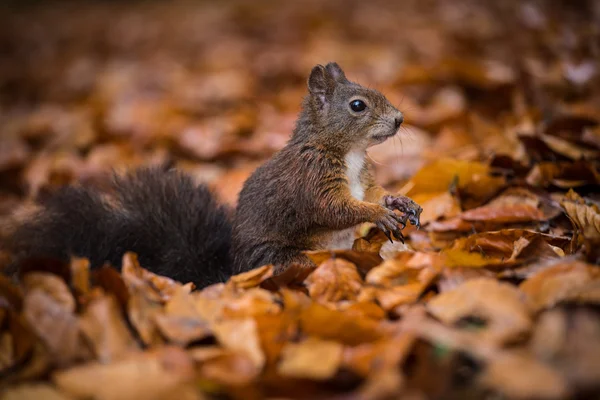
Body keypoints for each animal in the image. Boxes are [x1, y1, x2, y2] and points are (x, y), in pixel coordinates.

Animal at [7, 62, 424, 288]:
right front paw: (379, 215)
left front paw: (397, 200)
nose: (400, 119)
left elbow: (371, 193)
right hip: (283, 260)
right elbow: (334, 209)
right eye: (358, 105)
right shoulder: (312, 181)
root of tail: (230, 276)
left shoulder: (362, 179)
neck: (349, 152)